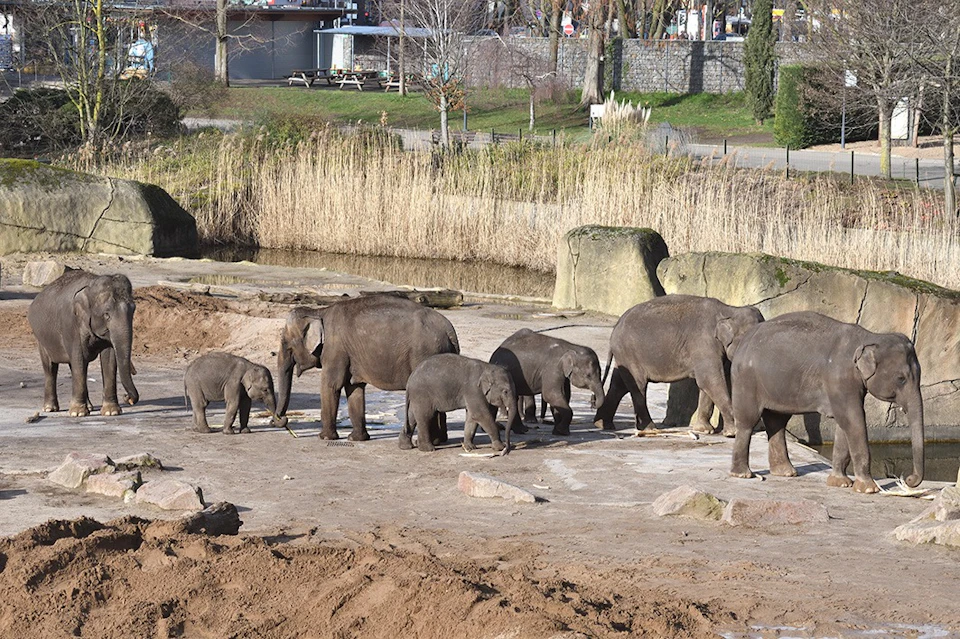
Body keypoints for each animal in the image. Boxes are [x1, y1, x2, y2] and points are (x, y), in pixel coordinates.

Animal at [27, 269, 139, 417]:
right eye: (107, 314)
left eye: (133, 310)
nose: (127, 398)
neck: (90, 286)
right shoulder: (71, 325)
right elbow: (78, 358)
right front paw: (78, 413)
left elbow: (109, 359)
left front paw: (111, 412)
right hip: (41, 338)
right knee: (51, 368)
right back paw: (50, 408)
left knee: (75, 366)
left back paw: (89, 407)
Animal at [276, 294, 460, 441]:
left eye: (285, 344)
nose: (280, 419)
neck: (318, 312)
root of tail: (449, 330)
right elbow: (354, 389)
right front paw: (356, 439)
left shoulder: (335, 350)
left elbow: (331, 385)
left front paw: (324, 438)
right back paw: (441, 441)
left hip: (426, 352)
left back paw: (433, 441)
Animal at [593, 295, 764, 434]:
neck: (730, 309)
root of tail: (615, 328)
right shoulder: (703, 343)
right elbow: (710, 380)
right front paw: (732, 432)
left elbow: (707, 384)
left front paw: (703, 430)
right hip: (630, 352)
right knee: (637, 385)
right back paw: (649, 428)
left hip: (624, 355)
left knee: (619, 384)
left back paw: (602, 424)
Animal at [729, 311, 924, 494]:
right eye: (901, 379)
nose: (908, 479)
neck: (869, 337)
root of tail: (743, 342)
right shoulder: (838, 377)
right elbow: (854, 419)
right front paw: (868, 489)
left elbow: (845, 423)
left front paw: (840, 483)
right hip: (746, 379)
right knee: (748, 421)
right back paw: (743, 474)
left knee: (777, 421)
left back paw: (786, 472)